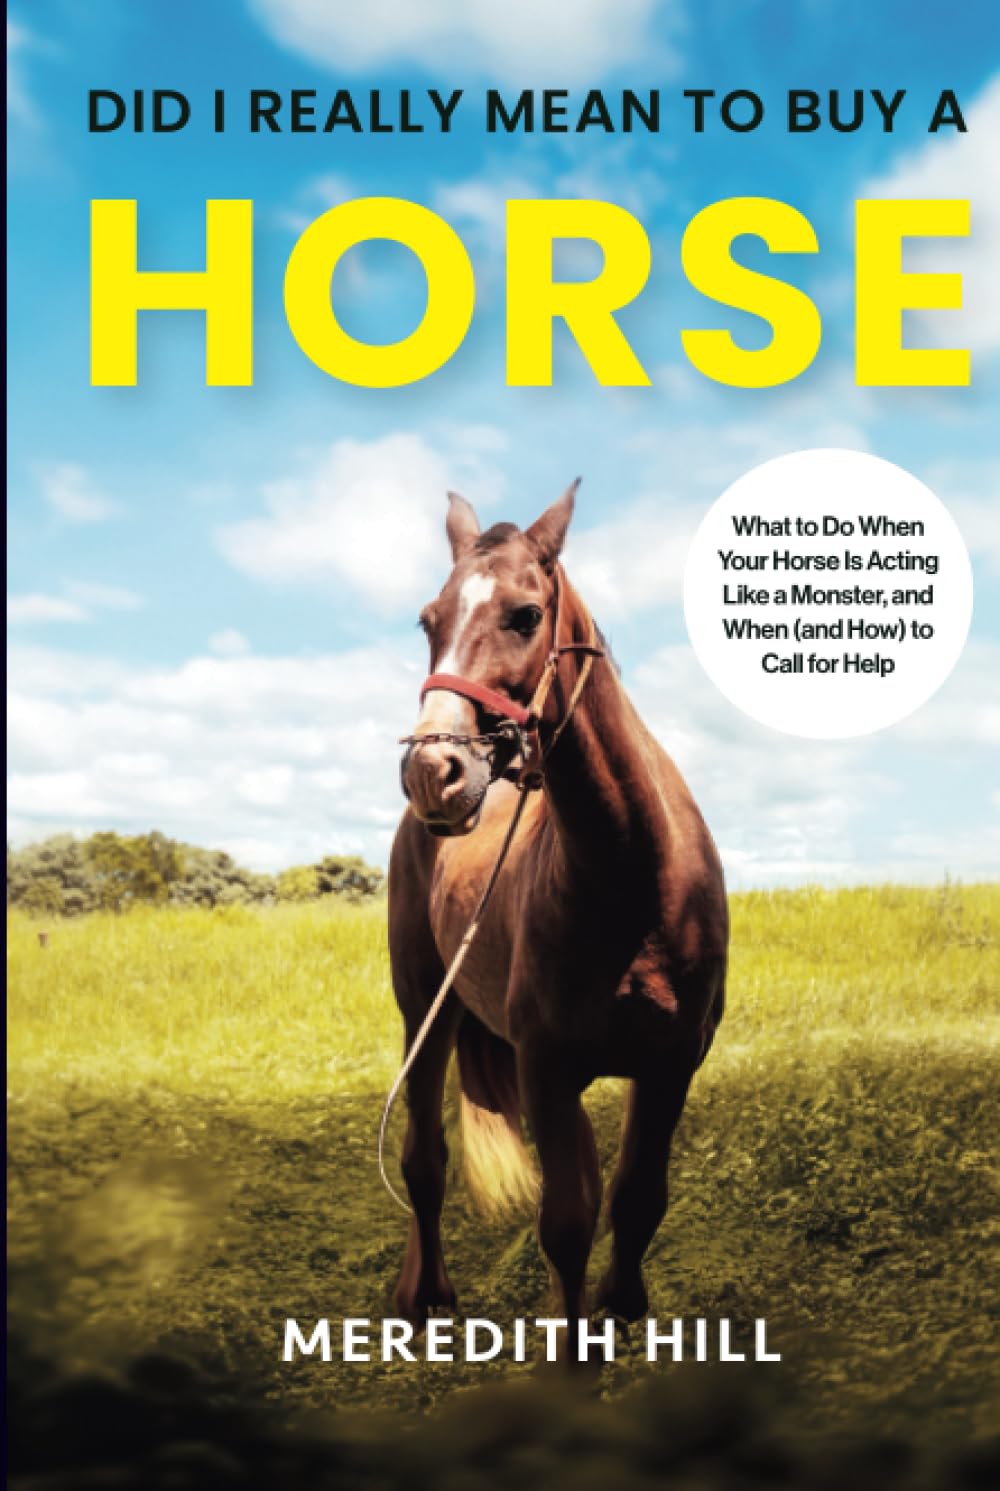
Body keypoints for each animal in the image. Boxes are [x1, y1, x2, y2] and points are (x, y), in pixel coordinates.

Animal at [387, 481, 728, 1348]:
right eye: (429, 620)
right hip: (424, 1011)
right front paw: (571, 1351)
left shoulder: (671, 1063)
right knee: (423, 1160)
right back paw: (423, 1290)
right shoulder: (546, 1071)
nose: (432, 770)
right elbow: (567, 1223)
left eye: (525, 614)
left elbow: (636, 1201)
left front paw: (623, 1305)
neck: (631, 879)